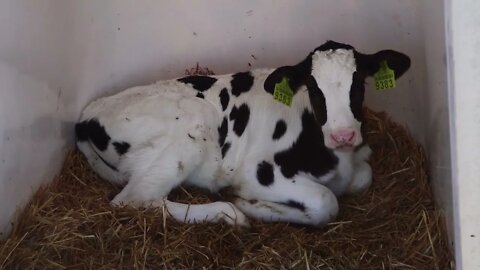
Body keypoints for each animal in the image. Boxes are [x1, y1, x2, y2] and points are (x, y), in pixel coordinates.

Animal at [75, 40, 408, 226]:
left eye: (359, 84)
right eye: (314, 89)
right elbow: (327, 202)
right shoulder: (260, 172)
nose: (343, 136)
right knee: (133, 200)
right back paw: (229, 213)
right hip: (191, 127)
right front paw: (252, 205)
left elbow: (364, 177)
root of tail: (87, 115)